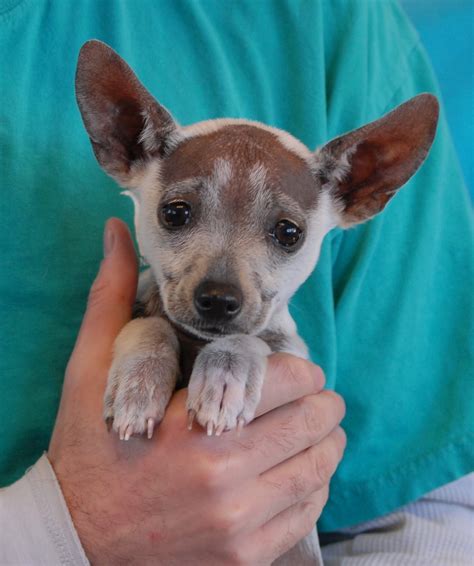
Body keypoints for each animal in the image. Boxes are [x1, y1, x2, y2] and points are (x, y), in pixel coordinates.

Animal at [75, 42, 440, 446]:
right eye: (174, 213)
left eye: (289, 233)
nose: (219, 299)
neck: (195, 341)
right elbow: (150, 326)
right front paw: (140, 380)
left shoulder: (290, 350)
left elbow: (251, 340)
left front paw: (224, 374)